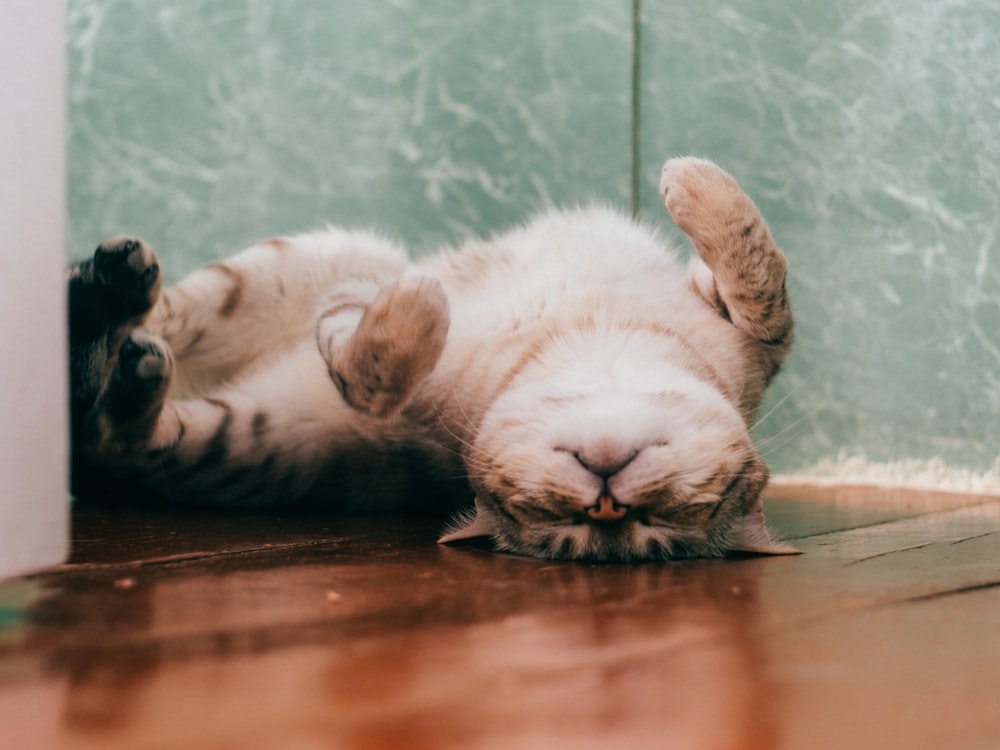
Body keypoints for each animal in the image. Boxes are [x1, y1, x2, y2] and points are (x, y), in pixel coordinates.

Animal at [68, 156, 796, 560]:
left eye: (670, 519)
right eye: (555, 516)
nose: (606, 504)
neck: (594, 334)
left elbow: (375, 369)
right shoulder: (736, 316)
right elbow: (763, 282)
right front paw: (695, 182)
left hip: (229, 436)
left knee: (105, 425)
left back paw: (122, 343)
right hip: (300, 260)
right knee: (148, 318)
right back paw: (111, 281)